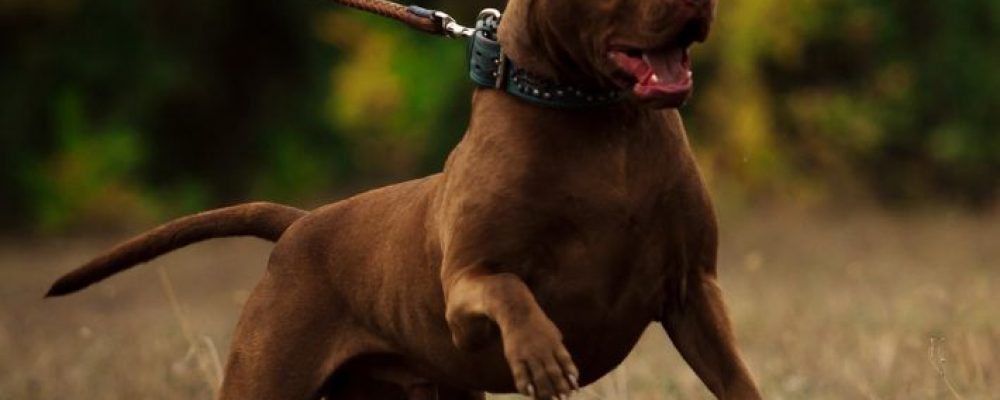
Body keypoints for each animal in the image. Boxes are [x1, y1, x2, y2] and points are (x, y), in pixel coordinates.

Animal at [48, 0, 763, 398]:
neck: (597, 116)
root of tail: (302, 223)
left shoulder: (693, 291)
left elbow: (737, 380)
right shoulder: (464, 289)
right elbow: (512, 292)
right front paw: (538, 353)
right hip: (264, 380)